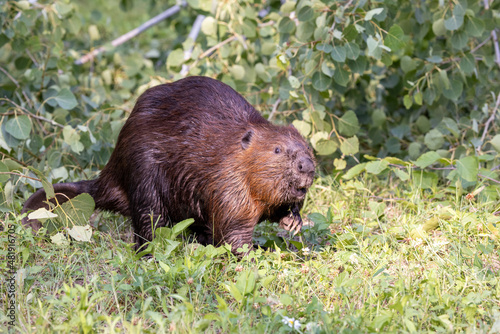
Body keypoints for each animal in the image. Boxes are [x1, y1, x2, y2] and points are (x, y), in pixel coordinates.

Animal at [22, 75, 316, 253]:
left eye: (307, 146)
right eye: (277, 149)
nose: (307, 167)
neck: (233, 152)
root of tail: (107, 180)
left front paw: (293, 220)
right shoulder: (228, 186)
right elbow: (232, 231)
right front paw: (250, 255)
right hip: (143, 175)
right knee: (149, 221)